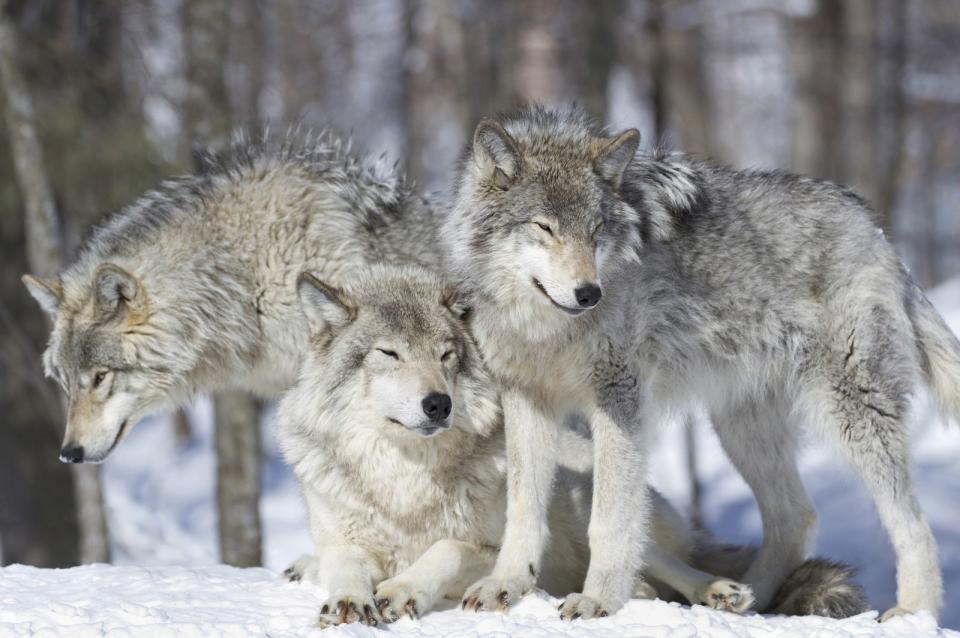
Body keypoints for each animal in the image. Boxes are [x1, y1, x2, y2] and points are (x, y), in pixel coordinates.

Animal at [274, 264, 868, 632]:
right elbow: (344, 565)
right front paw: (348, 599)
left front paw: (400, 590)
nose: (438, 404)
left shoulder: (492, 548)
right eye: (389, 354)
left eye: (446, 355)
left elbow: (444, 548)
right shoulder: (343, 537)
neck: (405, 480)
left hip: (588, 505)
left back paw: (714, 591)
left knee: (661, 566)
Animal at [444, 107, 960, 624]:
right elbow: (523, 510)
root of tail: (875, 228)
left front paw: (599, 600)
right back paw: (746, 601)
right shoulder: (527, 398)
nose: (589, 293)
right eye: (544, 227)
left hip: (851, 415)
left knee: (914, 524)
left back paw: (912, 612)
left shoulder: (620, 399)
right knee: (798, 517)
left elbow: (610, 519)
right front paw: (506, 584)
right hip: (741, 429)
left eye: (596, 231)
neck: (546, 328)